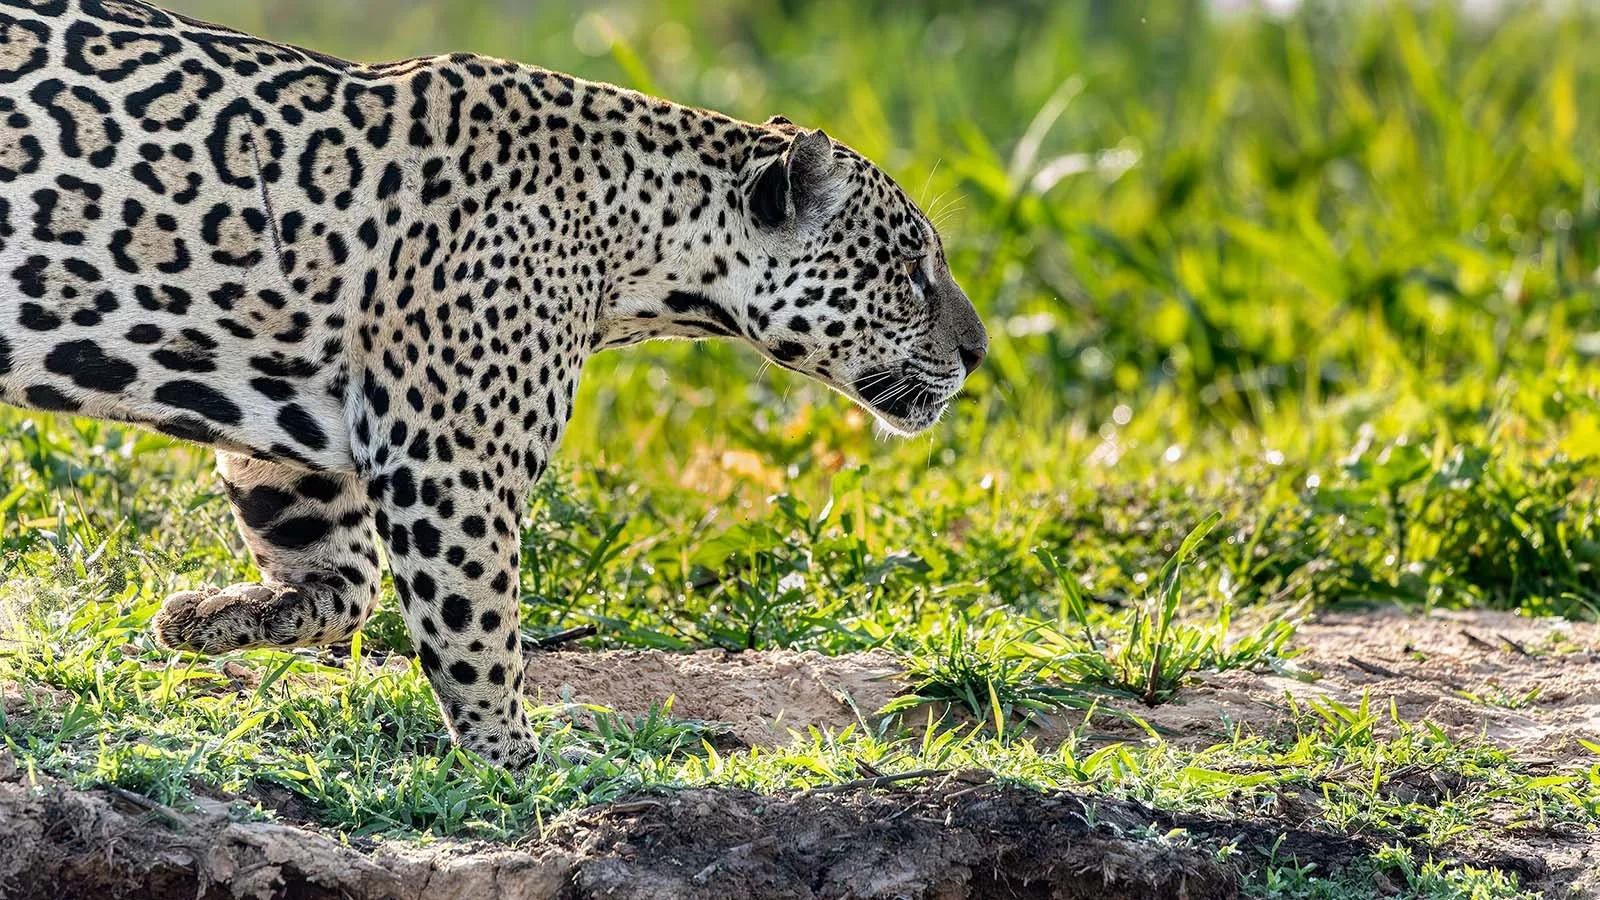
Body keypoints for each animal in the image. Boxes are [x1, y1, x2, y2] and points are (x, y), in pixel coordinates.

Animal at [0, 0, 988, 768]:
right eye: (912, 269)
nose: (979, 353)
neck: (639, 244)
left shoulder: (297, 432)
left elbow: (343, 582)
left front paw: (203, 618)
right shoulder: (452, 461)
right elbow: (475, 626)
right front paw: (519, 759)